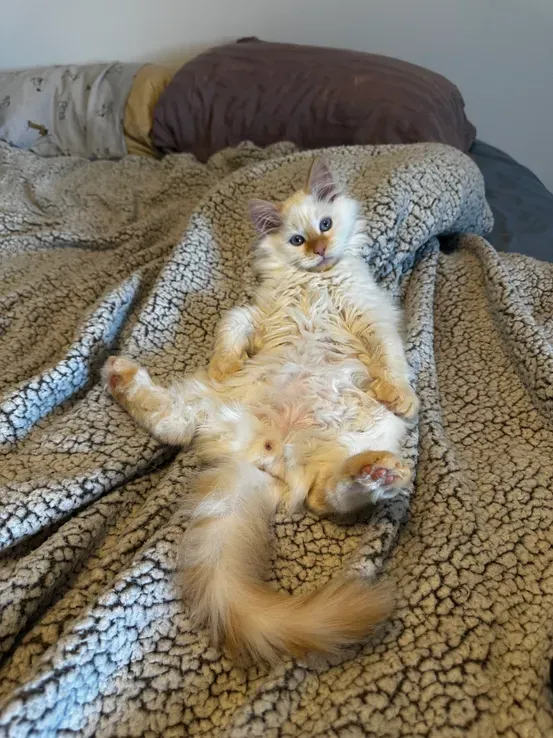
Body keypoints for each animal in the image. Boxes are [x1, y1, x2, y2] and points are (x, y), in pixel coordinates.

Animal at [103, 157, 419, 663]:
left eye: (325, 225)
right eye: (297, 240)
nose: (321, 249)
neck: (315, 282)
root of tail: (267, 454)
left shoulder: (373, 317)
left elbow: (390, 360)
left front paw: (402, 395)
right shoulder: (258, 312)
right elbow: (230, 323)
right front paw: (225, 361)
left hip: (355, 436)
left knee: (327, 496)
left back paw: (380, 472)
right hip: (209, 405)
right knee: (174, 423)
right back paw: (118, 374)